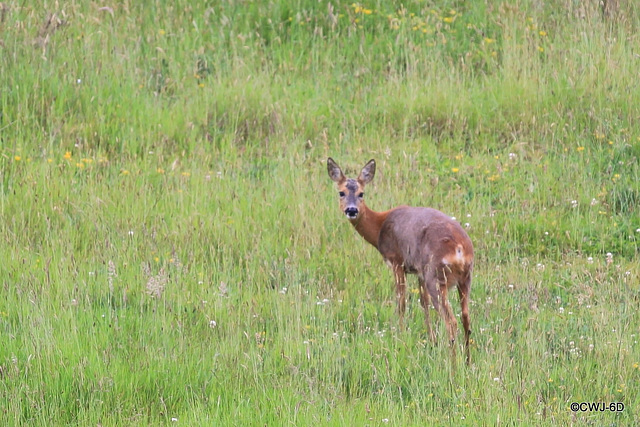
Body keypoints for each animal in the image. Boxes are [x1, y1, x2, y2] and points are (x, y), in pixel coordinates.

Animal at [328, 159, 472, 366]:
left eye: (361, 193)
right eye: (341, 192)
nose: (352, 210)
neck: (379, 226)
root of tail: (459, 249)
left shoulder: (397, 261)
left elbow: (401, 302)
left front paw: (401, 337)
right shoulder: (419, 271)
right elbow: (423, 303)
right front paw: (432, 341)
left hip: (436, 277)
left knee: (451, 321)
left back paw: (452, 365)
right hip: (464, 278)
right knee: (466, 317)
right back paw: (467, 362)